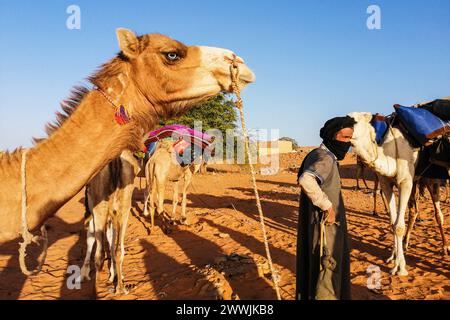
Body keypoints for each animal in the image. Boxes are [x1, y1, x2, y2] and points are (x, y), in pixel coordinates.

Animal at [79, 150, 139, 296]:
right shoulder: (114, 214)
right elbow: (111, 241)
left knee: (99, 255)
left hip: (100, 208)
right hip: (125, 207)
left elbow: (90, 239)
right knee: (119, 249)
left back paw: (96, 292)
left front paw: (84, 273)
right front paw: (114, 275)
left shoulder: (93, 211)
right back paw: (120, 288)